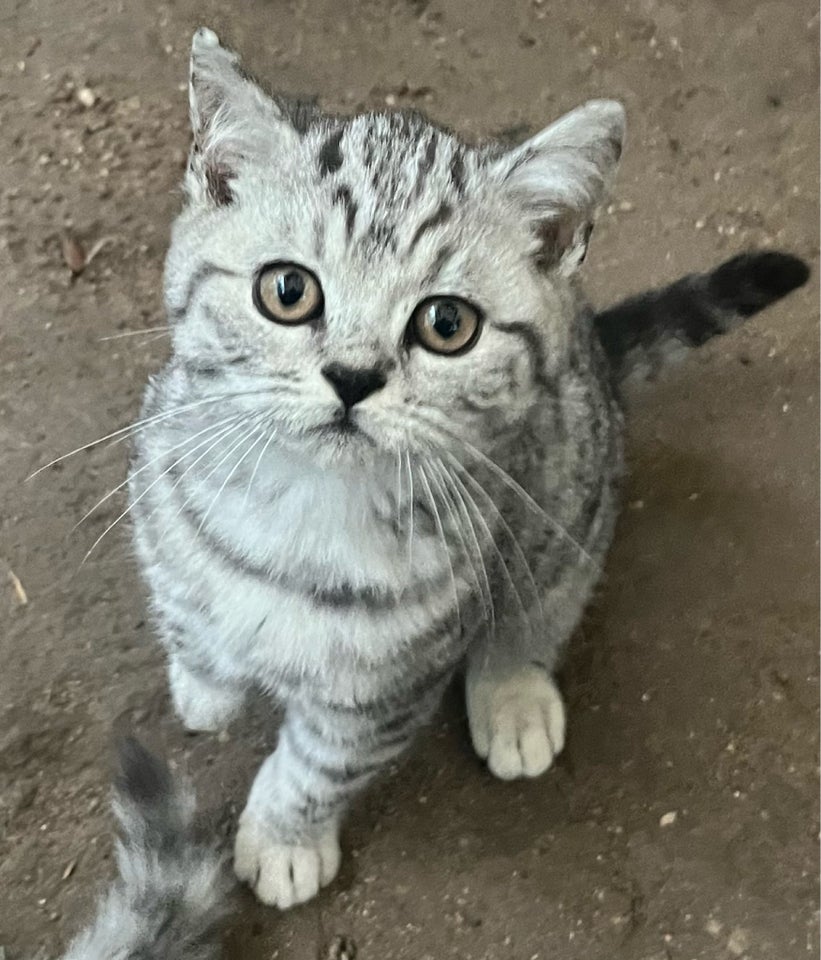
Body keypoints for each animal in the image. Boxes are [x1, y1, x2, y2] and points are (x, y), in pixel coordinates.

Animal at [125, 26, 812, 912]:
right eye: (287, 290)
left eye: (445, 324)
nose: (352, 377)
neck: (302, 512)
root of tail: (591, 337)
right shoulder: (157, 487)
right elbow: (186, 611)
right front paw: (204, 682)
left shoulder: (384, 691)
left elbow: (315, 768)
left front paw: (284, 838)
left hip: (568, 510)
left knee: (540, 606)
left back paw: (512, 692)